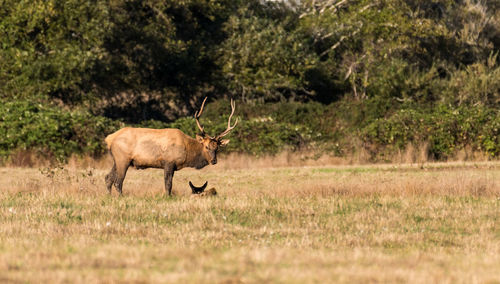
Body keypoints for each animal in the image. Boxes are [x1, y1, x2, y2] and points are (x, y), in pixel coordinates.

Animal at [103, 97, 236, 195]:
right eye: (206, 147)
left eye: (217, 148)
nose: (214, 161)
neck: (187, 152)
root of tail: (109, 138)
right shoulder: (169, 162)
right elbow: (168, 184)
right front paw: (168, 197)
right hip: (123, 159)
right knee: (118, 181)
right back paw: (121, 197)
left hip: (117, 160)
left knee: (108, 178)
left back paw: (109, 196)